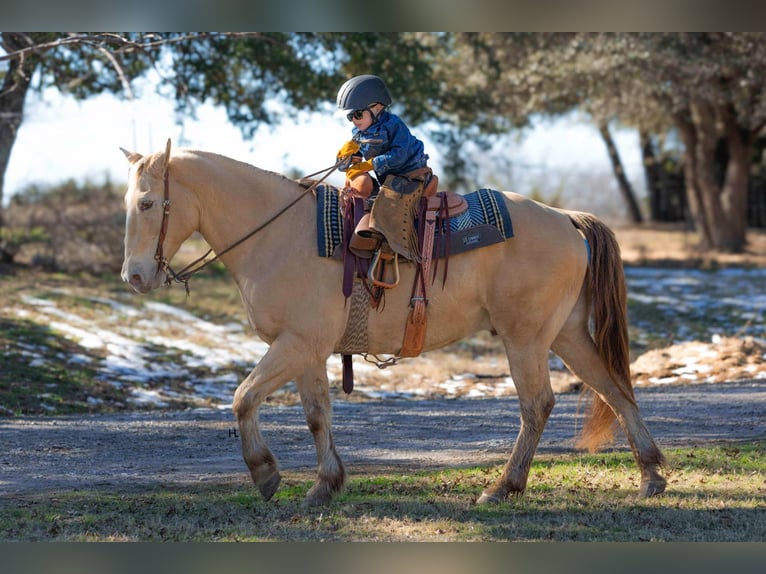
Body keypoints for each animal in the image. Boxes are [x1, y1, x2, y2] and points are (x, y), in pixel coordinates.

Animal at [120, 141, 664, 508]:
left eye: (147, 203)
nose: (135, 276)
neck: (275, 234)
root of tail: (566, 218)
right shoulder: (306, 350)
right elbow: (317, 415)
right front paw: (325, 485)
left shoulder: (295, 345)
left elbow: (243, 397)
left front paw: (265, 474)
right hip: (567, 334)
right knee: (613, 388)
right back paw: (652, 475)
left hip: (525, 339)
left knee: (538, 406)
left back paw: (503, 487)